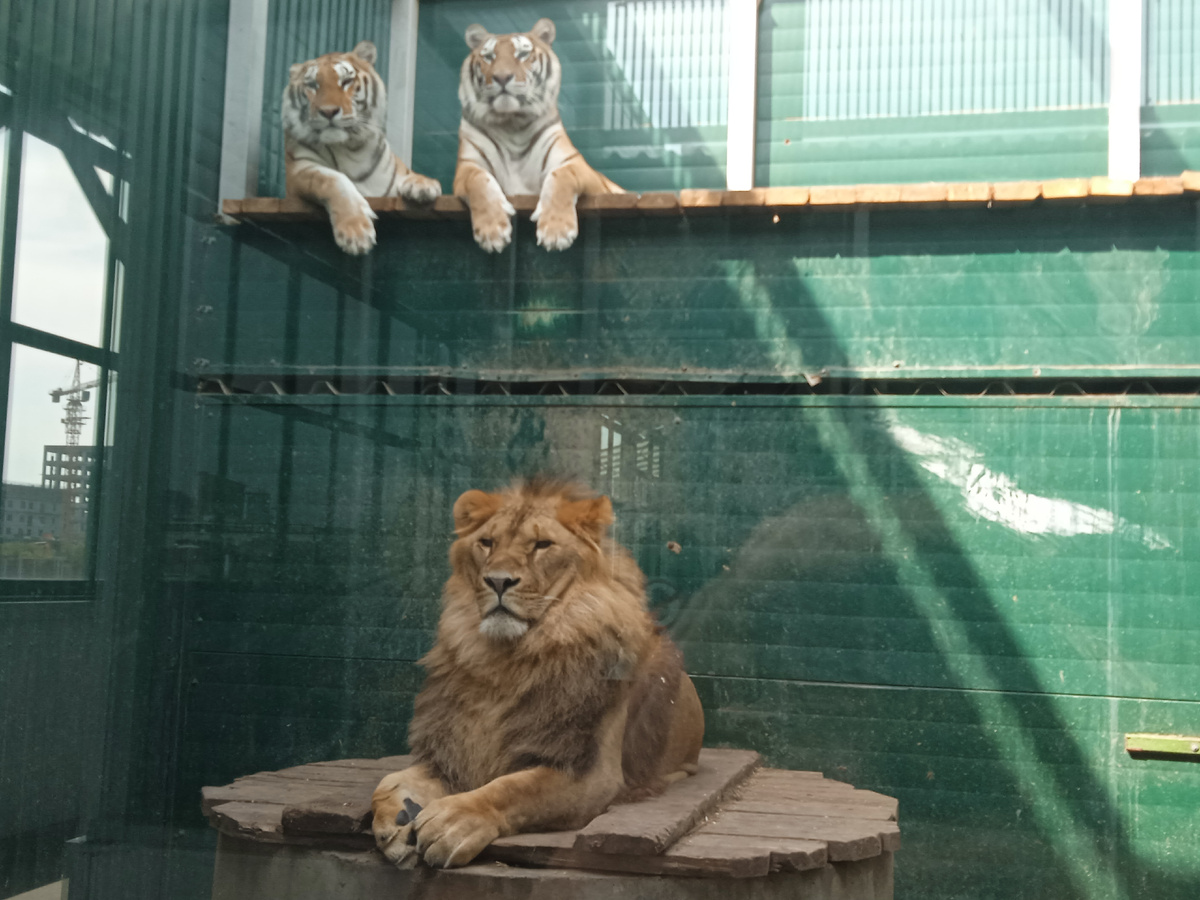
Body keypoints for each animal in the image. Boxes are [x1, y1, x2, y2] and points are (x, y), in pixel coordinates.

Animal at [371, 478, 705, 869]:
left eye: (542, 544)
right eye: (487, 542)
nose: (498, 581)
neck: (505, 661)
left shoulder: (592, 773)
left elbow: (514, 788)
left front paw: (451, 822)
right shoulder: (451, 753)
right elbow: (388, 782)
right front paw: (397, 819)